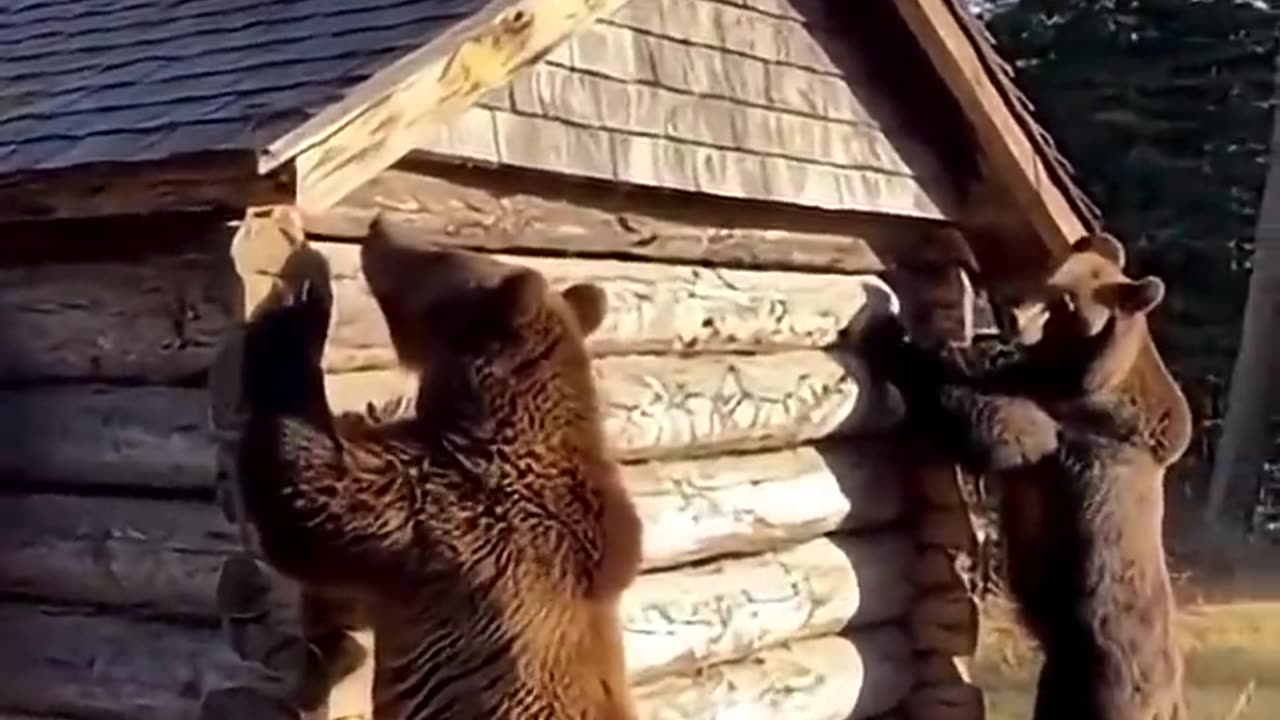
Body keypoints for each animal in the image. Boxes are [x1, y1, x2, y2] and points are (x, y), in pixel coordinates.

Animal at [861, 232, 1189, 720]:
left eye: (1067, 300)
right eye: (1050, 274)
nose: (1014, 315)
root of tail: (1168, 701)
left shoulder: (1077, 425)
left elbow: (1006, 429)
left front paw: (891, 337)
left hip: (1108, 683)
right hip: (1058, 681)